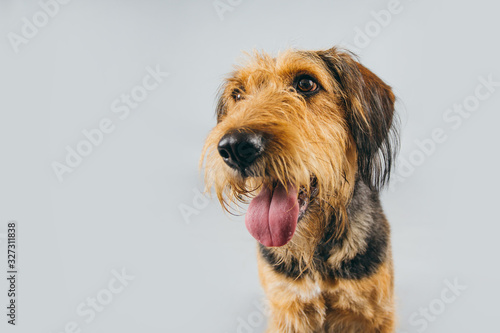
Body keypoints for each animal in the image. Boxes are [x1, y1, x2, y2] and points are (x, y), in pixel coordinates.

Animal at [199, 47, 398, 332]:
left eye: (305, 84)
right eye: (237, 94)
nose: (235, 146)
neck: (316, 252)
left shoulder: (372, 313)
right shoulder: (287, 307)